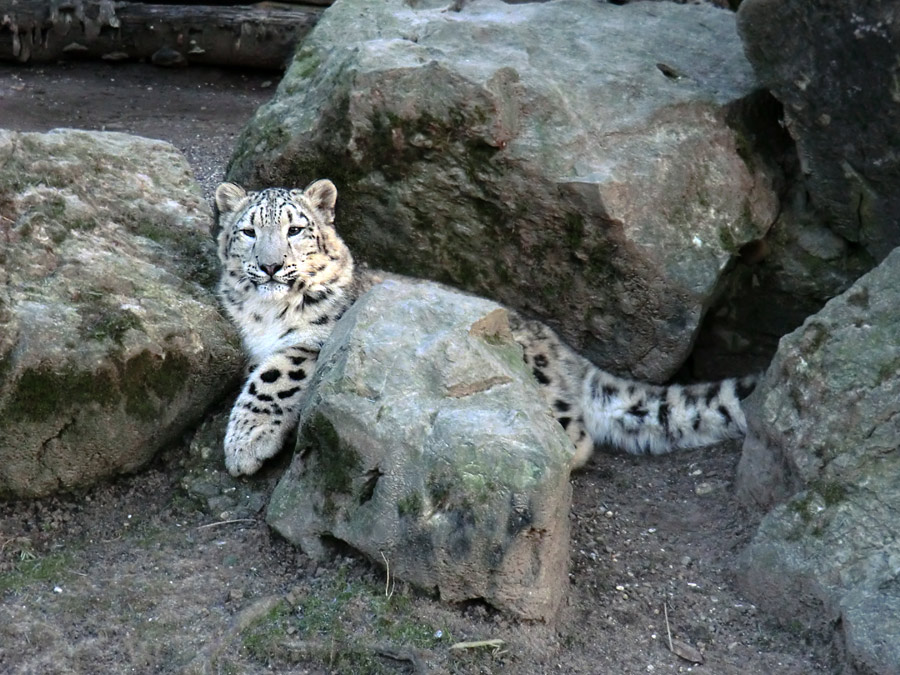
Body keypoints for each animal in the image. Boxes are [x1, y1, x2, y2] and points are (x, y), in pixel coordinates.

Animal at [214, 177, 756, 478]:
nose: (269, 266)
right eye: (248, 231)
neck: (267, 313)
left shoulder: (319, 337)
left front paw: (244, 442)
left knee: (573, 432)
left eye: (296, 229)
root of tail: (563, 349)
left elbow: (273, 376)